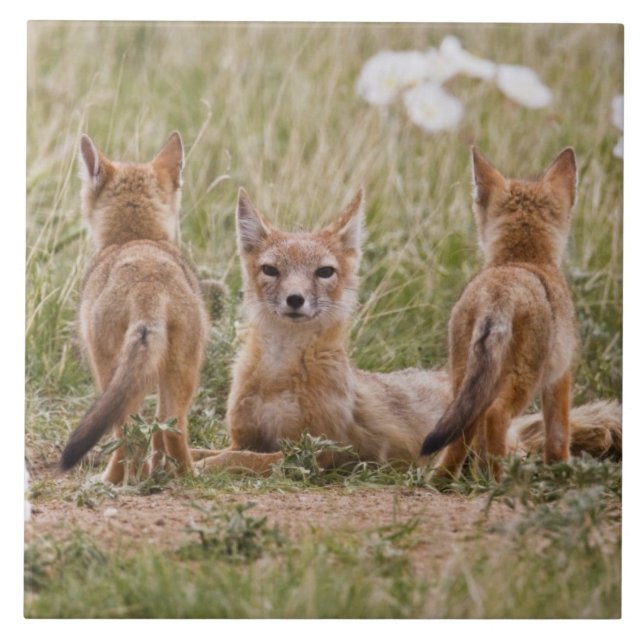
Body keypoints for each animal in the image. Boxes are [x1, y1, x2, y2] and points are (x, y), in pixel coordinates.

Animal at [59, 132, 208, 484]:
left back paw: (111, 480)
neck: (136, 239)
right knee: (172, 427)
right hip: (181, 371)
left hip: (108, 371)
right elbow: (156, 431)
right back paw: (185, 476)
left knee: (125, 431)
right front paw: (155, 471)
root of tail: (147, 281)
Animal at [192, 186, 620, 475]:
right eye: (271, 270)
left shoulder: (316, 452)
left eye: (324, 272)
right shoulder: (245, 436)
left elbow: (238, 459)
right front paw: (182, 460)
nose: (295, 299)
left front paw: (195, 468)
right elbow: (209, 449)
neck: (279, 375)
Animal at [420, 147, 579, 479]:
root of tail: (499, 291)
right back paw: (496, 478)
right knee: (496, 416)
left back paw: (444, 479)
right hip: (523, 381)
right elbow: (559, 432)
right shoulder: (561, 376)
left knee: (464, 431)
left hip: (463, 380)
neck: (522, 260)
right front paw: (561, 469)